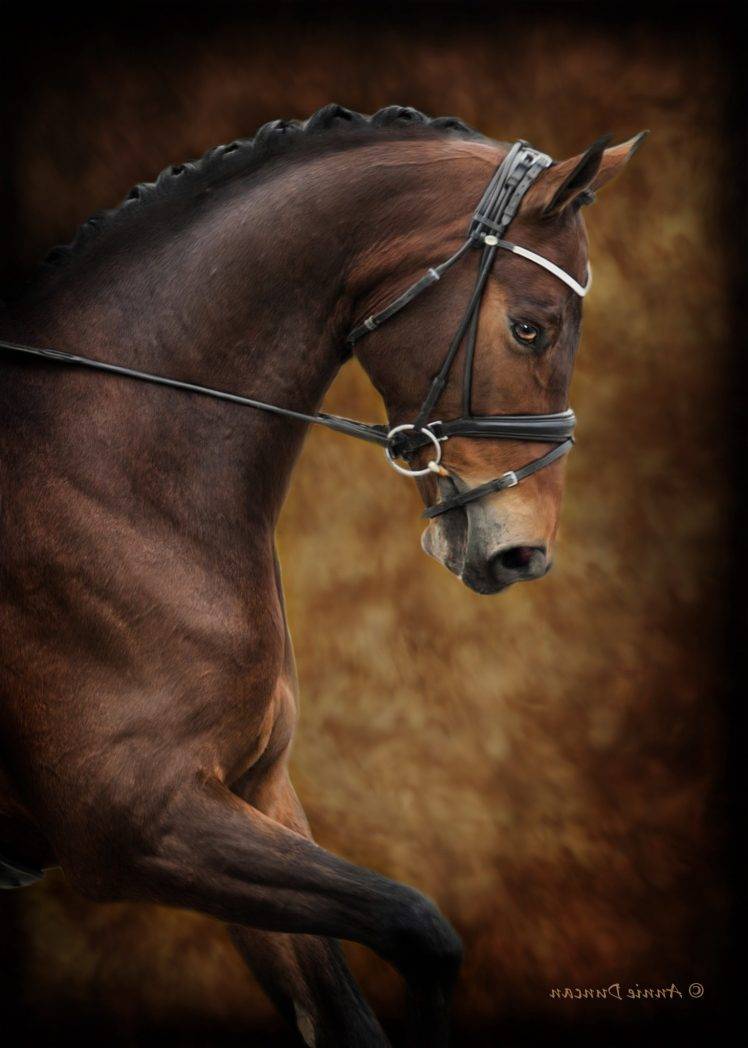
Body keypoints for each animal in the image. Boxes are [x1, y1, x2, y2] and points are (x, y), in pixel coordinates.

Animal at [0, 105, 643, 1046]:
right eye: (531, 326)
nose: (524, 552)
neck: (112, 469)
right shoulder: (136, 822)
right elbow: (421, 930)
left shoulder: (254, 794)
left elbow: (345, 1005)